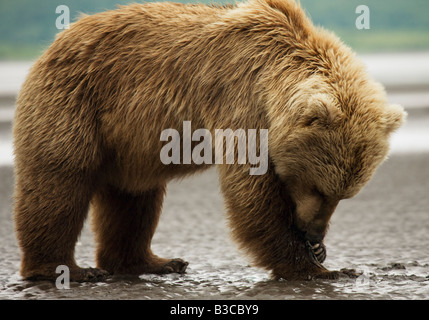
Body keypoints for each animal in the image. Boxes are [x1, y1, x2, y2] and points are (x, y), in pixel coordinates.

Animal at [13, 0, 402, 280]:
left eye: (342, 194)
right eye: (318, 187)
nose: (313, 235)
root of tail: (55, 42)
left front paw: (320, 254)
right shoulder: (240, 100)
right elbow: (251, 194)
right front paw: (319, 269)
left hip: (129, 141)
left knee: (135, 197)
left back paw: (153, 262)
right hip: (75, 103)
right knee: (59, 183)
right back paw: (66, 269)